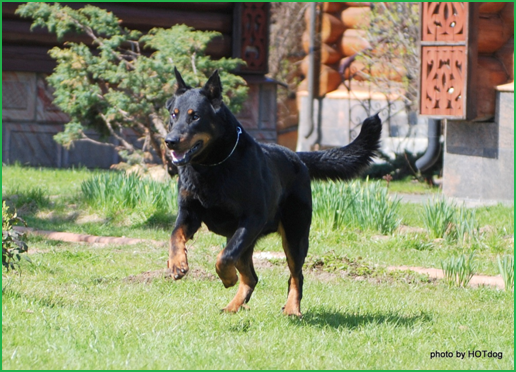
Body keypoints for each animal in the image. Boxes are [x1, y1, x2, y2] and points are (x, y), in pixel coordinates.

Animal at [165, 68, 382, 316]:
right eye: (174, 114)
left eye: (195, 116)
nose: (170, 141)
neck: (211, 166)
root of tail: (298, 157)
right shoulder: (189, 213)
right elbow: (175, 235)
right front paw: (177, 264)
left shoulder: (252, 219)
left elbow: (224, 257)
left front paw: (227, 278)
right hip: (247, 240)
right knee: (251, 277)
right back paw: (233, 307)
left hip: (294, 234)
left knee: (296, 275)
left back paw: (292, 309)